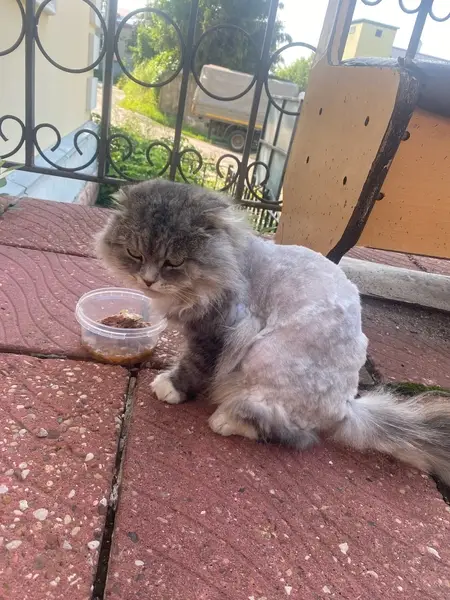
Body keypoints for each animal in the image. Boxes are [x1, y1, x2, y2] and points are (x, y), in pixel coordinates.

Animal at [96, 179, 450, 486]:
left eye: (173, 262)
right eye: (135, 255)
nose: (148, 280)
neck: (230, 260)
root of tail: (347, 407)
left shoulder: (220, 330)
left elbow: (194, 365)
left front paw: (171, 387)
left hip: (265, 354)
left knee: (291, 433)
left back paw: (227, 419)